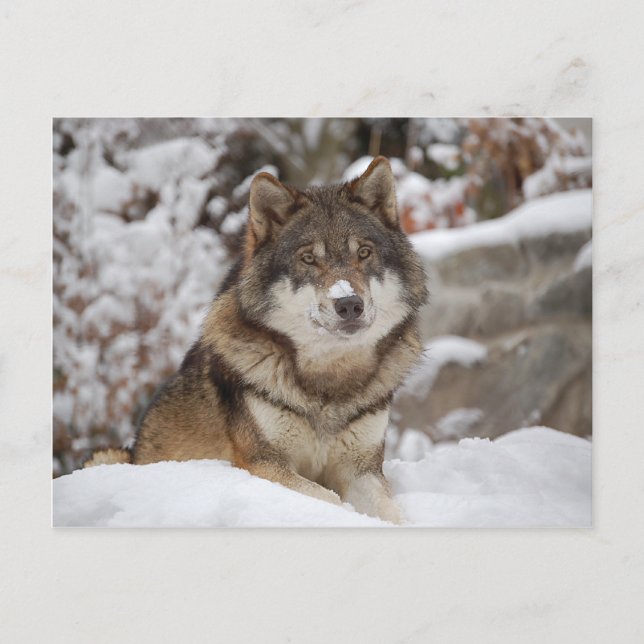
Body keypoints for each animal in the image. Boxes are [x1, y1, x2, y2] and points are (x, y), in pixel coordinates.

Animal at [85, 157, 428, 523]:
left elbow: (392, 513)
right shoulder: (262, 464)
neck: (328, 383)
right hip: (107, 456)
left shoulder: (362, 470)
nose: (349, 303)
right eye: (308, 259)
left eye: (364, 253)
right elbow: (330, 499)